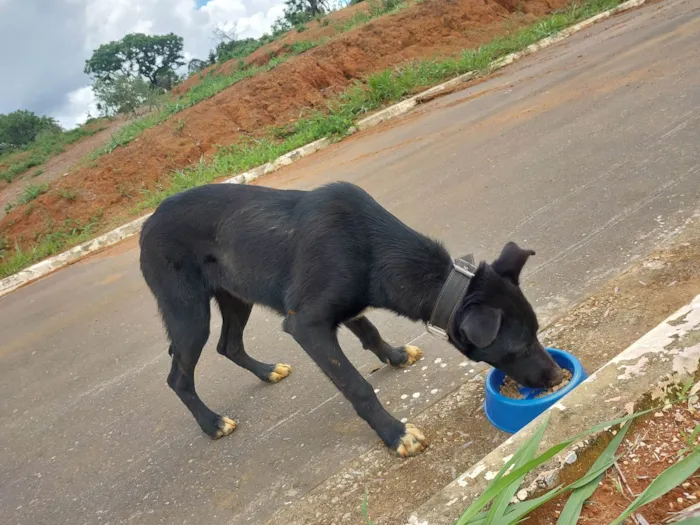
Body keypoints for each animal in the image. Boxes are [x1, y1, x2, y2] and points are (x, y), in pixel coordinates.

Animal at [139, 180, 560, 454]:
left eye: (538, 334)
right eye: (519, 347)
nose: (557, 377)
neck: (373, 245)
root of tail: (147, 223)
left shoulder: (346, 304)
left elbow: (369, 329)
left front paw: (395, 356)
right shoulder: (306, 324)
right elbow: (357, 386)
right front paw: (395, 434)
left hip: (236, 295)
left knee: (229, 345)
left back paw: (266, 371)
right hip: (188, 313)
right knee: (179, 376)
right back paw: (211, 424)